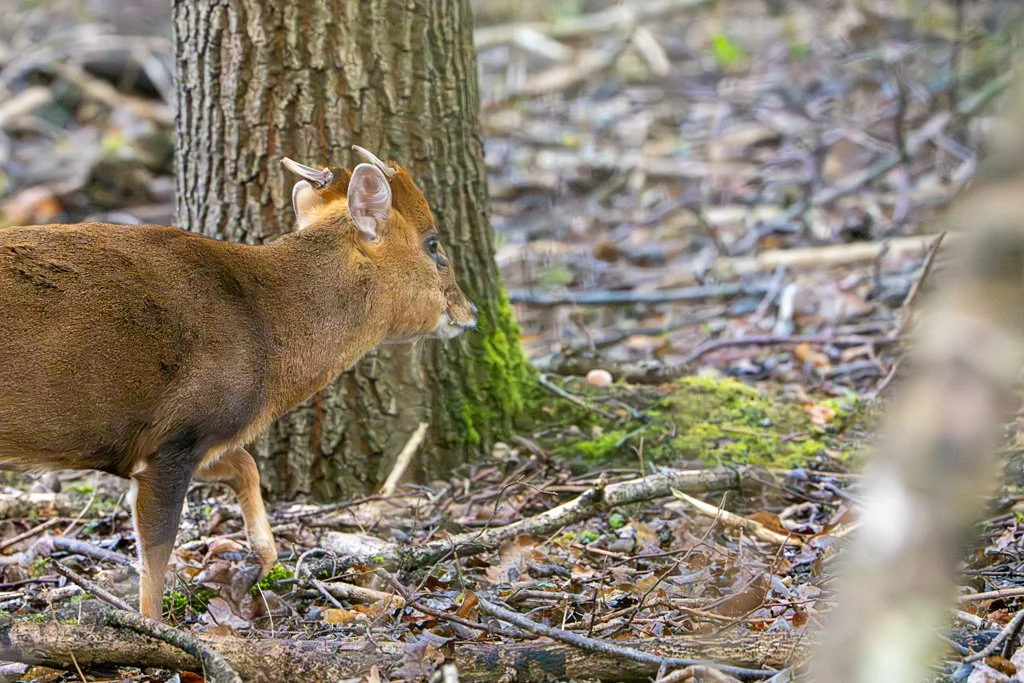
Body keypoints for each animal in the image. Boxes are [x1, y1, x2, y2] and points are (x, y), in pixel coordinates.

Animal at [0, 146, 478, 621]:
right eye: (433, 244)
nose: (470, 312)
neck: (267, 329)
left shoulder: (184, 438)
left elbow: (245, 465)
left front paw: (248, 573)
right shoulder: (179, 433)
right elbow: (155, 557)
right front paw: (156, 631)